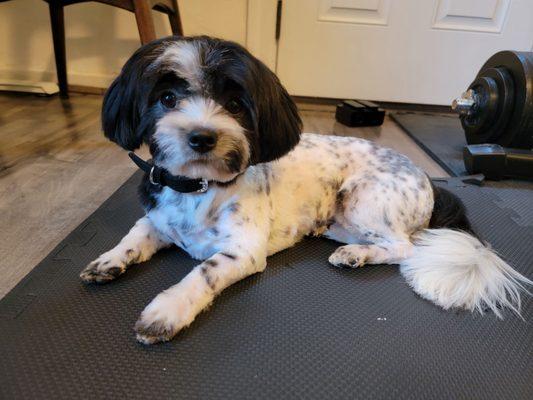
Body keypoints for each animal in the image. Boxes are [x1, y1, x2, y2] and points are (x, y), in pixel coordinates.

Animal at [80, 36, 532, 346]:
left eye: (235, 104)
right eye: (167, 97)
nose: (202, 136)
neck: (197, 187)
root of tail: (429, 182)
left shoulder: (242, 251)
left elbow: (202, 273)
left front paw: (167, 310)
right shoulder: (158, 218)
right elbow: (136, 235)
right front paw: (110, 260)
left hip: (364, 199)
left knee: (405, 246)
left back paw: (357, 255)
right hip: (342, 216)